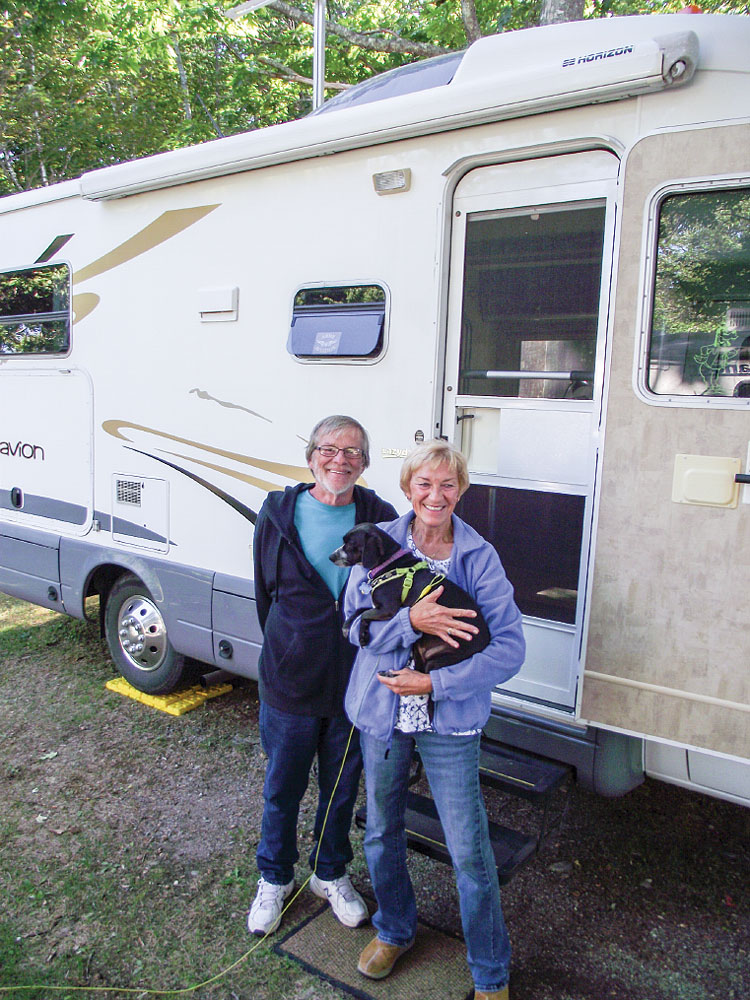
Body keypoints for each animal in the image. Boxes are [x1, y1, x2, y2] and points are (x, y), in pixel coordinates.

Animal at [334, 524, 494, 672]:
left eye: (350, 544)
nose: (331, 557)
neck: (388, 563)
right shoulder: (378, 607)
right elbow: (360, 610)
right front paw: (346, 626)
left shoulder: (388, 610)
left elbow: (364, 614)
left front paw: (362, 636)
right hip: (420, 652)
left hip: (439, 661)